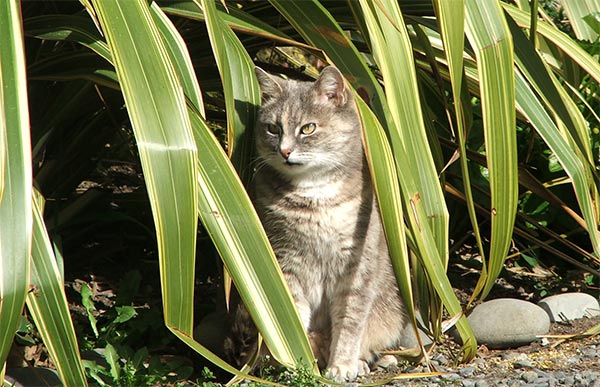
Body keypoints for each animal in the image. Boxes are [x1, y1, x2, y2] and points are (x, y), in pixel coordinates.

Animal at [226, 66, 408, 382]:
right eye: (273, 128)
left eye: (308, 128)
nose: (284, 151)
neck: (315, 196)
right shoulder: (286, 262)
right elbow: (294, 317)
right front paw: (295, 363)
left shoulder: (356, 268)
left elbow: (349, 324)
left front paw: (342, 365)